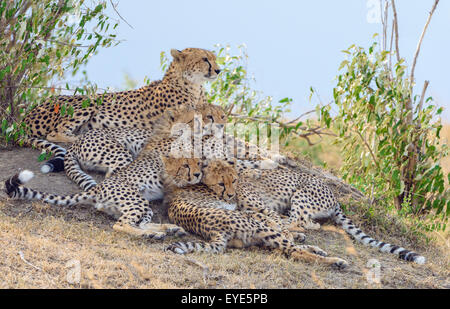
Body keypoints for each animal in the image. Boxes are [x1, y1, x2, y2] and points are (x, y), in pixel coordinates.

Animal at [164, 159, 348, 268]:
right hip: (260, 228)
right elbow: (276, 222)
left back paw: (316, 248)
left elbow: (276, 220)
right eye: (221, 184)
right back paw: (335, 261)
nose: (230, 194)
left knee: (293, 233)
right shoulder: (244, 210)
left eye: (233, 180)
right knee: (294, 247)